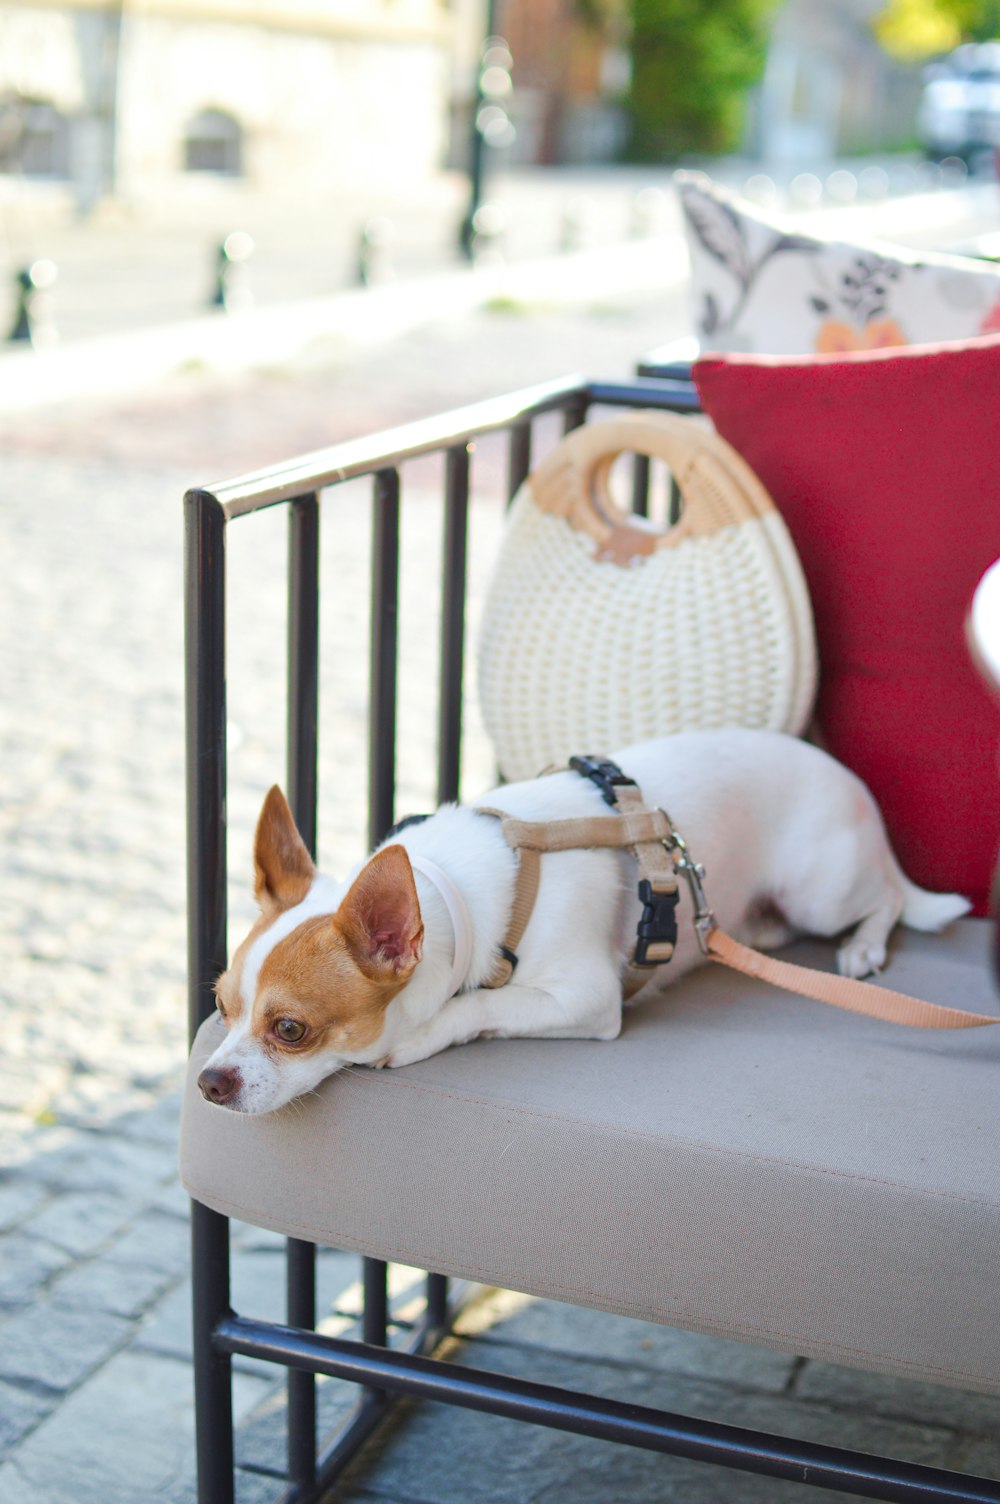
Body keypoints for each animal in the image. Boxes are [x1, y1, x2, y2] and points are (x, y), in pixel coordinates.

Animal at [198, 730, 968, 1118]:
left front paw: (419, 1036)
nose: (209, 1080)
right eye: (221, 1008)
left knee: (886, 898)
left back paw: (864, 946)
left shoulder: (588, 1000)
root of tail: (854, 787)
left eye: (289, 1030)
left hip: (822, 889)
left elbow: (481, 1004)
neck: (458, 893)